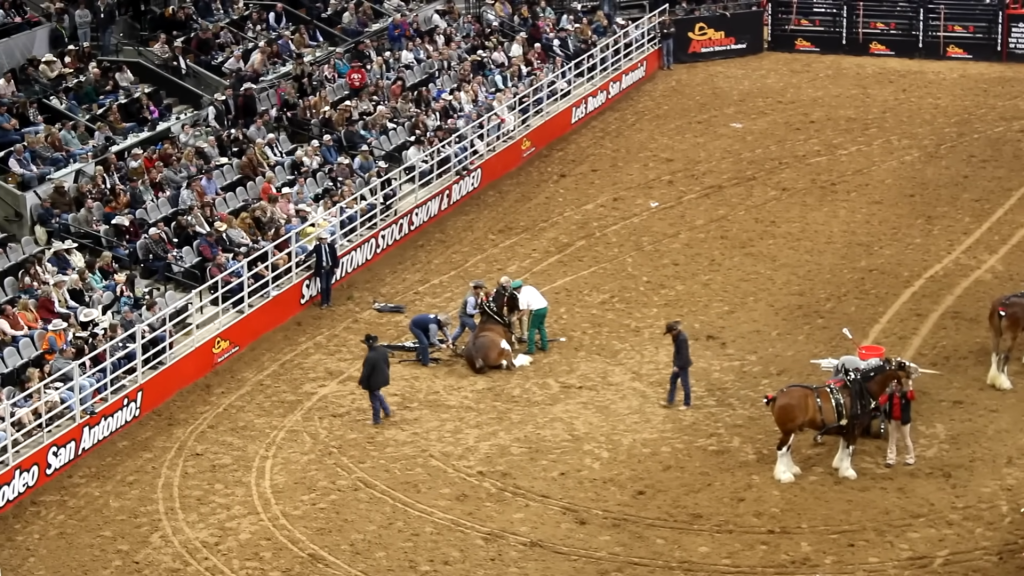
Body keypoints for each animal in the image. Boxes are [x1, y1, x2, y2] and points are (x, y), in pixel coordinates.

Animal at [761, 356, 921, 481]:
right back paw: (784, 475)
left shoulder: (847, 428)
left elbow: (843, 447)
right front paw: (848, 471)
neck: (861, 390)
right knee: (782, 450)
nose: (917, 370)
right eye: (901, 364)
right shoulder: (856, 429)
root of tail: (777, 396)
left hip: (791, 431)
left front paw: (839, 465)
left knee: (787, 449)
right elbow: (850, 449)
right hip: (788, 431)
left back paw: (792, 469)